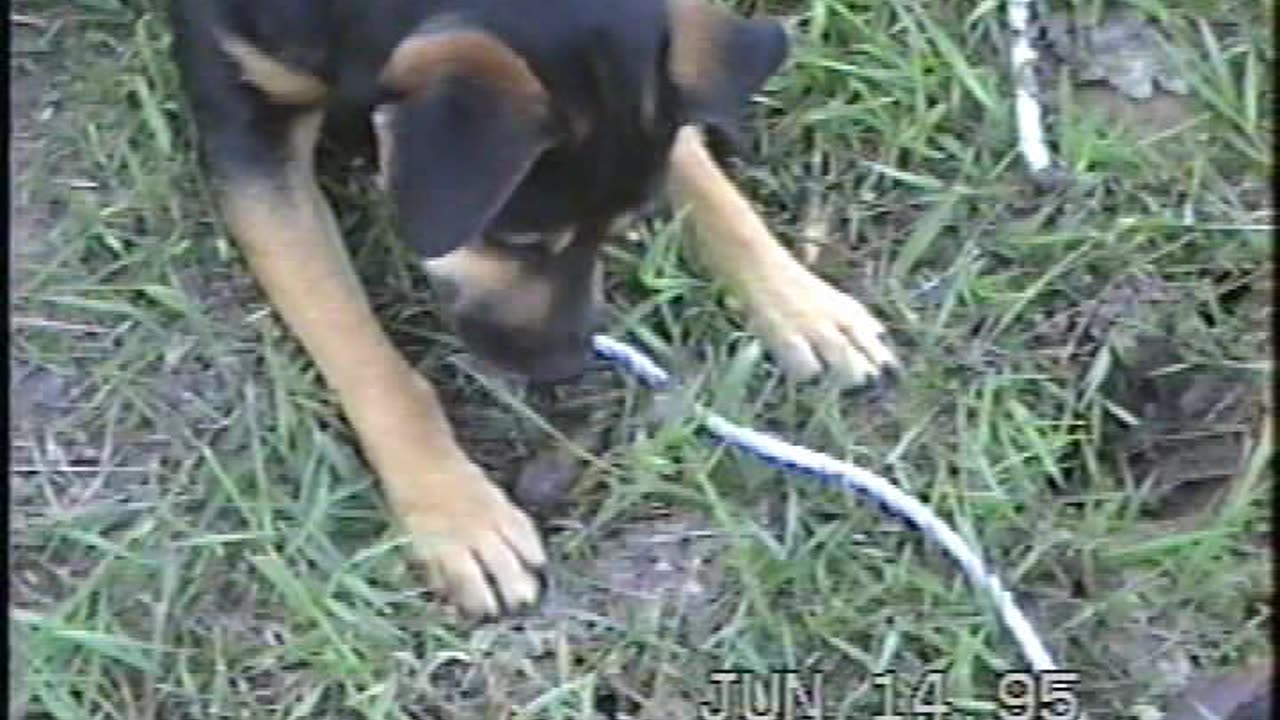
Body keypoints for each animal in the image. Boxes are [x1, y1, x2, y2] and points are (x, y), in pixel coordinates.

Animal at [167, 0, 890, 617]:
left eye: (622, 226)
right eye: (517, 239)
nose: (564, 365)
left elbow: (699, 170)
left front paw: (802, 305)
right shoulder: (247, 126)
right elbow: (359, 348)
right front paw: (458, 512)